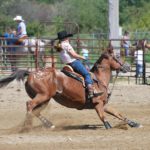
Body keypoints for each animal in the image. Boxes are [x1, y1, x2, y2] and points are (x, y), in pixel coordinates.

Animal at [0, 50, 141, 129]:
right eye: (117, 56)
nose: (128, 67)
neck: (99, 79)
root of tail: (31, 73)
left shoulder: (104, 104)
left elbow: (118, 113)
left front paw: (134, 123)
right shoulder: (97, 103)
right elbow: (102, 116)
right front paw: (108, 126)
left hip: (45, 99)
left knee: (35, 111)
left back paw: (49, 124)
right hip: (42, 96)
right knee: (29, 105)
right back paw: (26, 125)